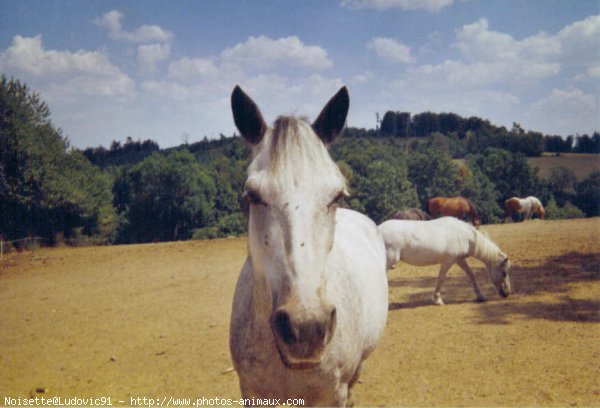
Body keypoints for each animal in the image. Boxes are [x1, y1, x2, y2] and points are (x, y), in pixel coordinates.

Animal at [380, 218, 510, 304]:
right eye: (504, 273)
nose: (507, 293)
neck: (464, 235)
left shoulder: (459, 259)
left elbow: (471, 275)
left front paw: (480, 296)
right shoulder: (448, 261)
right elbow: (441, 278)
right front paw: (437, 299)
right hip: (389, 260)